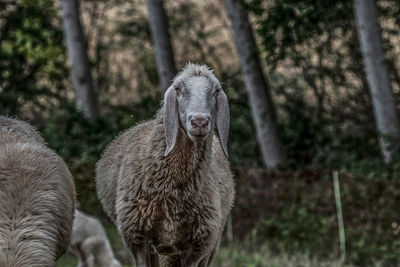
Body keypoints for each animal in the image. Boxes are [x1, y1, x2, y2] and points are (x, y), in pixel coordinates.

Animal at [95, 63, 236, 266]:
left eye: (216, 90)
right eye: (178, 88)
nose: (199, 122)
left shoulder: (198, 245)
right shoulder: (138, 239)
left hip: (209, 244)